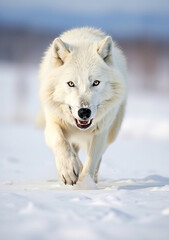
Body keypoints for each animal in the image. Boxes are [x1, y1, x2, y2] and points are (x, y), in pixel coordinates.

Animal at [38, 27, 127, 186]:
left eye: (96, 83)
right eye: (71, 83)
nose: (84, 112)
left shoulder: (100, 133)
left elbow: (91, 163)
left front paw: (85, 185)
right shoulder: (52, 125)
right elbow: (61, 142)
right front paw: (68, 170)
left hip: (111, 133)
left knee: (98, 159)